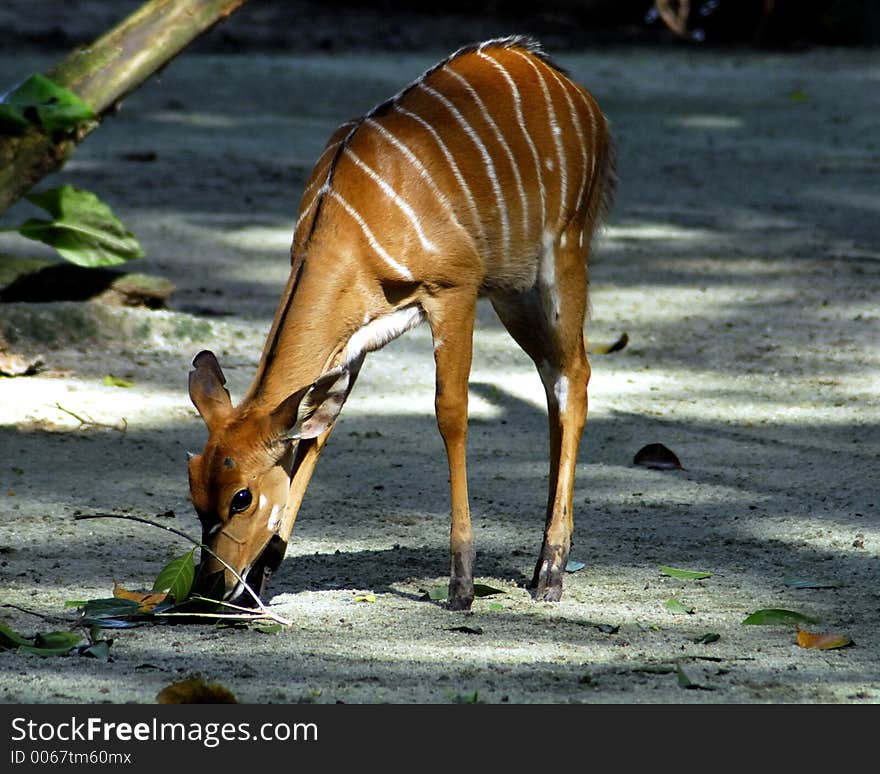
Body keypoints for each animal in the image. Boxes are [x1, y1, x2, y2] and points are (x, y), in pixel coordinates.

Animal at [186, 38, 612, 612]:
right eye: (193, 489)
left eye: (241, 496)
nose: (209, 588)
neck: (344, 225)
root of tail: (572, 86)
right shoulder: (355, 337)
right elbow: (318, 431)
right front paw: (266, 573)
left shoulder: (453, 291)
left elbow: (451, 413)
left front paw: (461, 585)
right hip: (513, 291)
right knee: (554, 379)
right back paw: (540, 561)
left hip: (561, 258)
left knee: (576, 375)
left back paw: (550, 571)